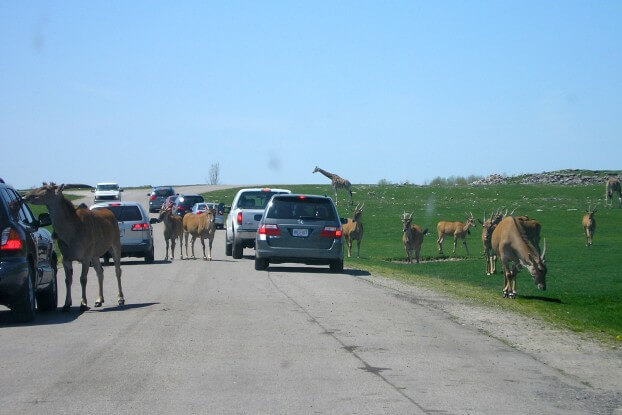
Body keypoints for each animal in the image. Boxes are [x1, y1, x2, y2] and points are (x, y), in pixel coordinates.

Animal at [24, 183, 124, 312]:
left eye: (46, 189)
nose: (26, 196)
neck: (72, 229)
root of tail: (110, 214)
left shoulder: (85, 258)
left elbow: (82, 279)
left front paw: (83, 304)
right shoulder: (67, 259)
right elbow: (68, 280)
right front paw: (66, 305)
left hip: (114, 247)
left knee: (117, 271)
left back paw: (120, 298)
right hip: (95, 255)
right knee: (100, 272)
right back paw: (99, 300)